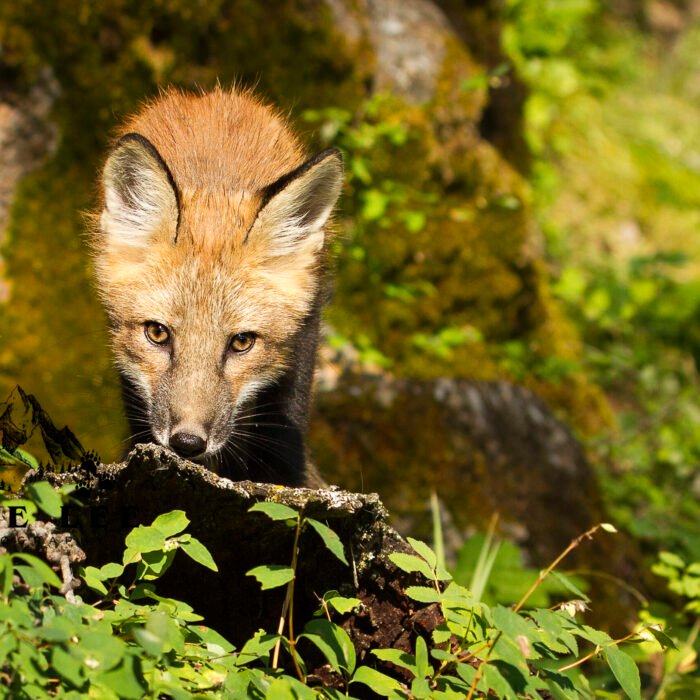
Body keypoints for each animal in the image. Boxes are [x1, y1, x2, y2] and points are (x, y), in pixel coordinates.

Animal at [91, 86, 343, 487]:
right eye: (157, 333)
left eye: (242, 342)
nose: (187, 443)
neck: (217, 187)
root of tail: (207, 95)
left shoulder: (304, 339)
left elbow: (283, 431)